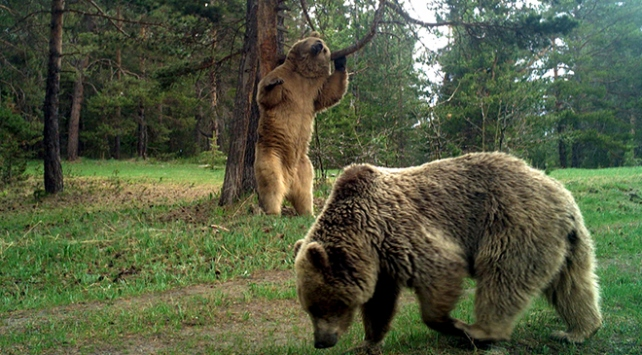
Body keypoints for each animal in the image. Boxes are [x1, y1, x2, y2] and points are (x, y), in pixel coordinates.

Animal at [252, 32, 348, 217]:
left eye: (324, 48)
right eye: (316, 40)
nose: (319, 45)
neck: (303, 74)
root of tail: (289, 180)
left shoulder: (313, 92)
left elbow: (330, 93)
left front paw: (341, 61)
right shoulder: (287, 80)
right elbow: (266, 96)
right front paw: (272, 83)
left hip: (304, 166)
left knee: (305, 191)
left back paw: (308, 212)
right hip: (271, 154)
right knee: (271, 181)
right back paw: (273, 211)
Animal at [292, 152, 596, 352]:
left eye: (320, 305)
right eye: (308, 307)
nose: (321, 342)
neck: (366, 236)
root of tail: (563, 197)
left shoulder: (402, 232)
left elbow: (441, 268)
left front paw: (451, 323)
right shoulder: (381, 264)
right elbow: (380, 303)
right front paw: (367, 342)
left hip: (515, 225)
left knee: (503, 279)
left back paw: (482, 331)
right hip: (568, 243)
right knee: (573, 286)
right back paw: (577, 331)